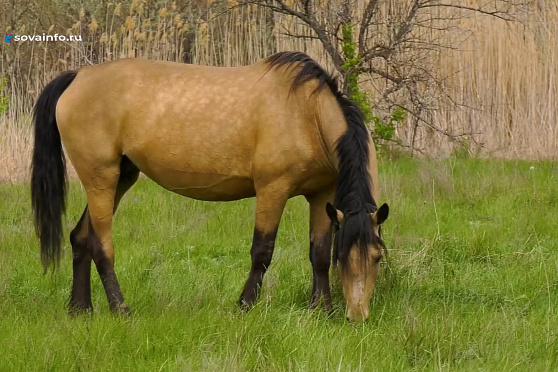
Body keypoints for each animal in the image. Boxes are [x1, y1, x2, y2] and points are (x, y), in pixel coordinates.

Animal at [29, 50, 390, 322]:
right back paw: (121, 309)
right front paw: (244, 306)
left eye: (377, 257)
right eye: (346, 257)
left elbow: (318, 254)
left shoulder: (321, 196)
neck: (306, 113)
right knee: (102, 245)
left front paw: (322, 310)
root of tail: (78, 76)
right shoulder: (273, 190)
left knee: (81, 237)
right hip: (100, 178)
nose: (358, 316)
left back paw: (80, 309)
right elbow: (262, 251)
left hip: (120, 177)